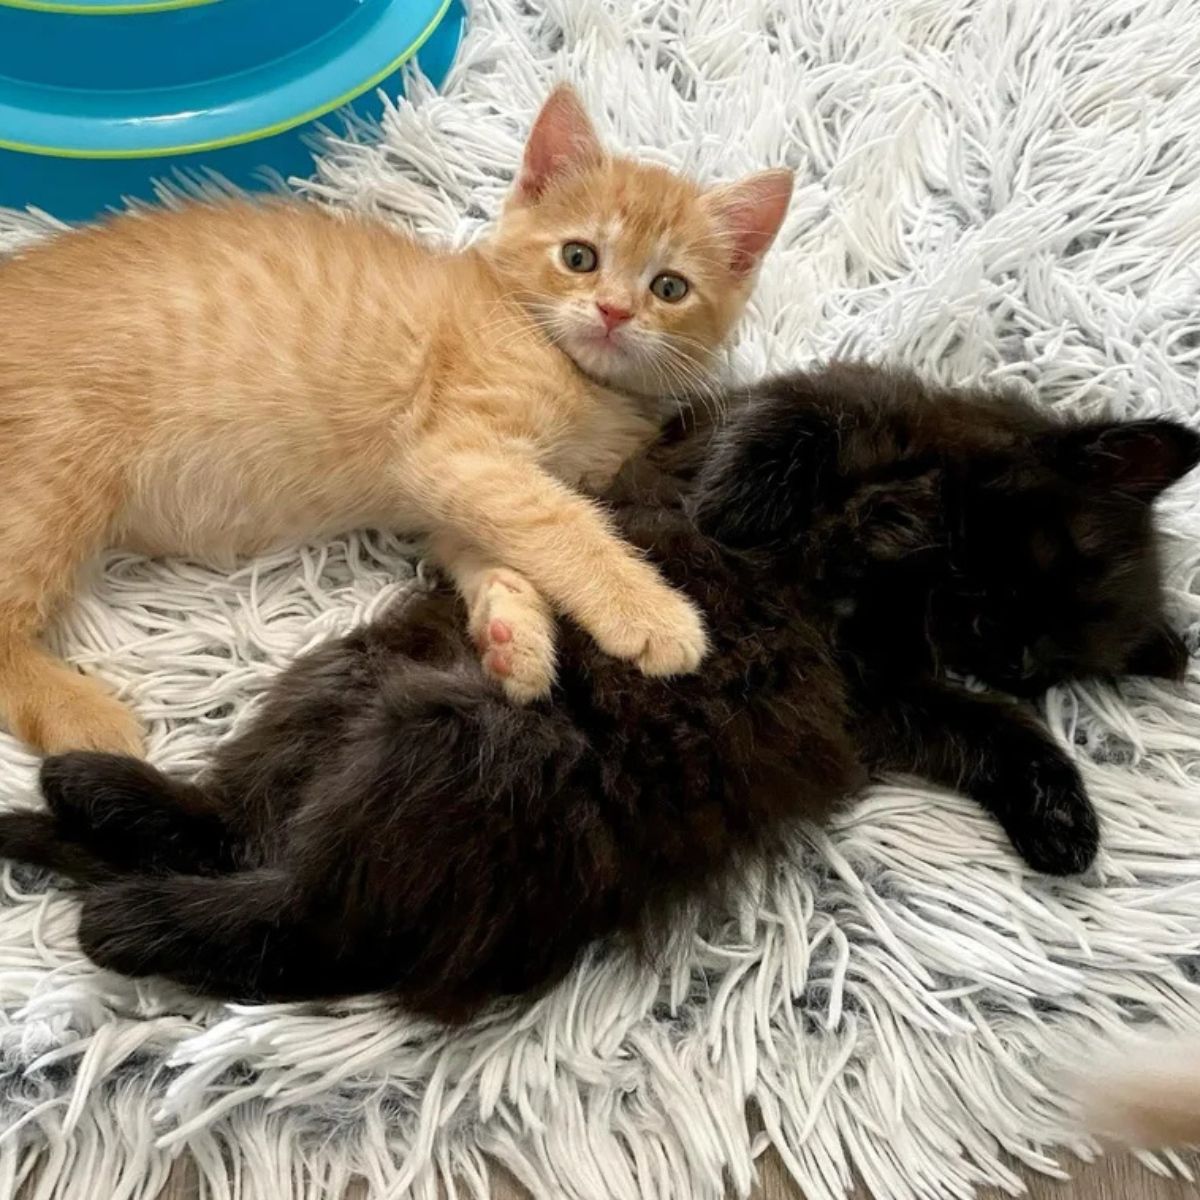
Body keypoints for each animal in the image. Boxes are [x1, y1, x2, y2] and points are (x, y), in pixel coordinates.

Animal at [0, 88, 792, 753]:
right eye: (579, 257)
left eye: (670, 288)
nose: (614, 312)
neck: (575, 371)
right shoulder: (456, 451)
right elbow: (562, 525)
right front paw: (649, 614)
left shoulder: (461, 488)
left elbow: (492, 545)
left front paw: (513, 635)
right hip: (56, 469)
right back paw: (81, 716)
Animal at [4, 360, 1195, 1017]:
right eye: (1028, 557)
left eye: (1029, 655)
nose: (987, 629)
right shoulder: (812, 406)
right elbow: (786, 432)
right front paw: (769, 509)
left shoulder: (890, 695)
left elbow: (992, 729)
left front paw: (1059, 816)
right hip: (372, 697)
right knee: (247, 842)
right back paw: (93, 809)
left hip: (446, 754)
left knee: (290, 912)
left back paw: (116, 894)